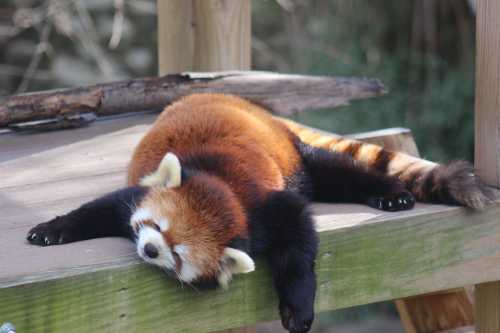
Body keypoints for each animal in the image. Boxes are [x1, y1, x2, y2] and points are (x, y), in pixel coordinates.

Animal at [25, 92, 490, 330]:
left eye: (178, 254)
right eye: (156, 226)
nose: (150, 250)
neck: (221, 184)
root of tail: (235, 99)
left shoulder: (267, 207)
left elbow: (298, 248)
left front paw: (298, 307)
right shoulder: (143, 189)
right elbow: (100, 209)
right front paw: (51, 229)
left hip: (296, 161)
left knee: (339, 172)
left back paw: (390, 194)